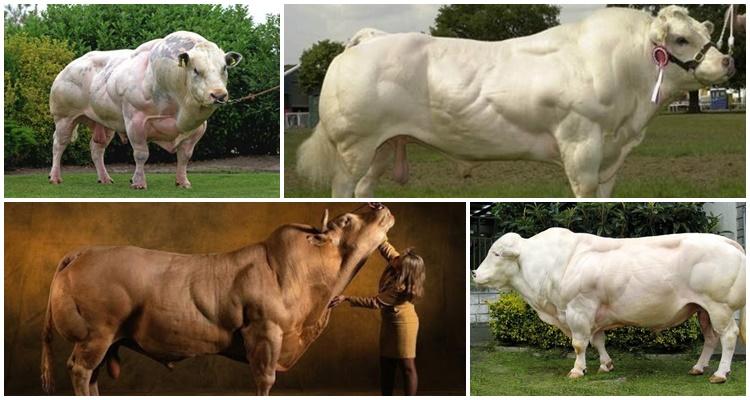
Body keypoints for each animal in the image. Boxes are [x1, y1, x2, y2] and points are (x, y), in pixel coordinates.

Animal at [40, 204, 395, 395]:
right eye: (347, 220)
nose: (379, 205)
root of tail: (83, 251)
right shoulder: (265, 332)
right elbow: (264, 378)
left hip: (106, 338)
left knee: (92, 374)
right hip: (96, 334)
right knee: (80, 369)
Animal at [48, 31, 242, 189]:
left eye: (224, 68)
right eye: (196, 70)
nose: (219, 94)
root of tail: (70, 66)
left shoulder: (198, 128)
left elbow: (185, 156)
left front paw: (183, 182)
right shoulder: (136, 121)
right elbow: (141, 154)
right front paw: (139, 182)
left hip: (105, 123)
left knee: (97, 149)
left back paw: (104, 178)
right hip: (64, 117)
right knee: (59, 144)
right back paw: (55, 177)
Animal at [297, 6, 736, 197]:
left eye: (705, 32)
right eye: (680, 39)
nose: (727, 60)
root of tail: (370, 38)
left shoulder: (613, 158)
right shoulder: (581, 146)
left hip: (385, 146)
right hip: (354, 146)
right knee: (342, 192)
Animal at [472, 227, 746, 383]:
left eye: (496, 253)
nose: (474, 273)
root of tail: (726, 242)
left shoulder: (578, 309)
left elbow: (579, 344)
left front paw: (577, 370)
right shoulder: (594, 313)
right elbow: (598, 341)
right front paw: (606, 365)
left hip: (719, 306)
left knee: (728, 337)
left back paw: (720, 374)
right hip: (702, 309)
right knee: (711, 338)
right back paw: (698, 368)